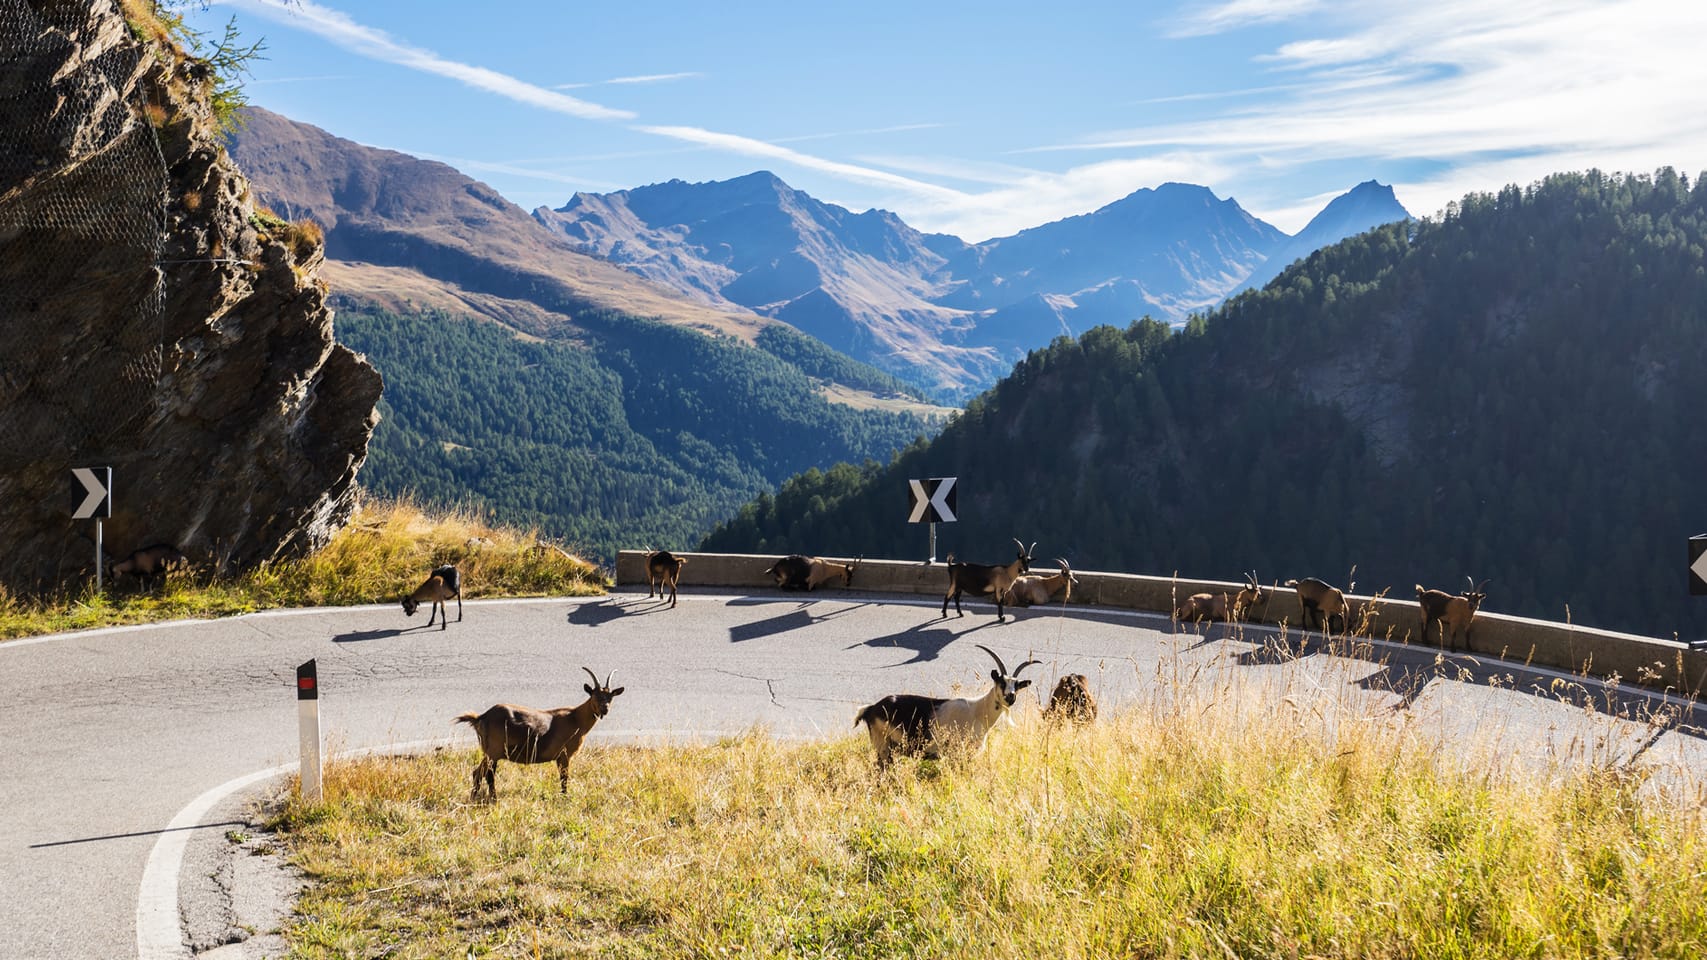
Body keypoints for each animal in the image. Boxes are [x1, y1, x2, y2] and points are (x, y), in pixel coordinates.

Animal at [457, 662, 624, 796]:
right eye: (595, 695)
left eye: (610, 697)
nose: (604, 709)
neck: (575, 718)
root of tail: (481, 717)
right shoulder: (564, 755)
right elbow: (564, 779)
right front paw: (565, 798)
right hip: (494, 750)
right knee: (486, 774)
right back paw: (492, 799)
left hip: (491, 752)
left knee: (479, 773)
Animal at [853, 638, 1037, 765]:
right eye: (1001, 682)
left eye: (1017, 686)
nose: (1010, 697)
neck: (979, 711)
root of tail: (870, 709)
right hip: (883, 746)